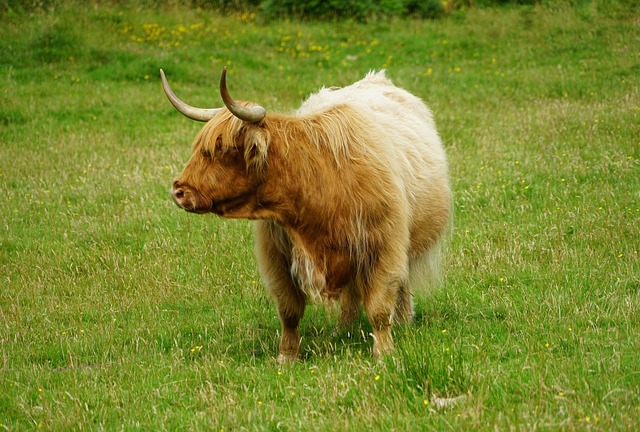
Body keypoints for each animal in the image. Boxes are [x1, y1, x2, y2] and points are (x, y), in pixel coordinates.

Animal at [160, 67, 451, 362]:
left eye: (223, 149)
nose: (179, 190)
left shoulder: (383, 247)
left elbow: (380, 307)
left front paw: (384, 353)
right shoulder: (278, 255)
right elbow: (289, 310)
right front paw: (287, 356)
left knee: (401, 284)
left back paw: (403, 321)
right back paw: (343, 329)